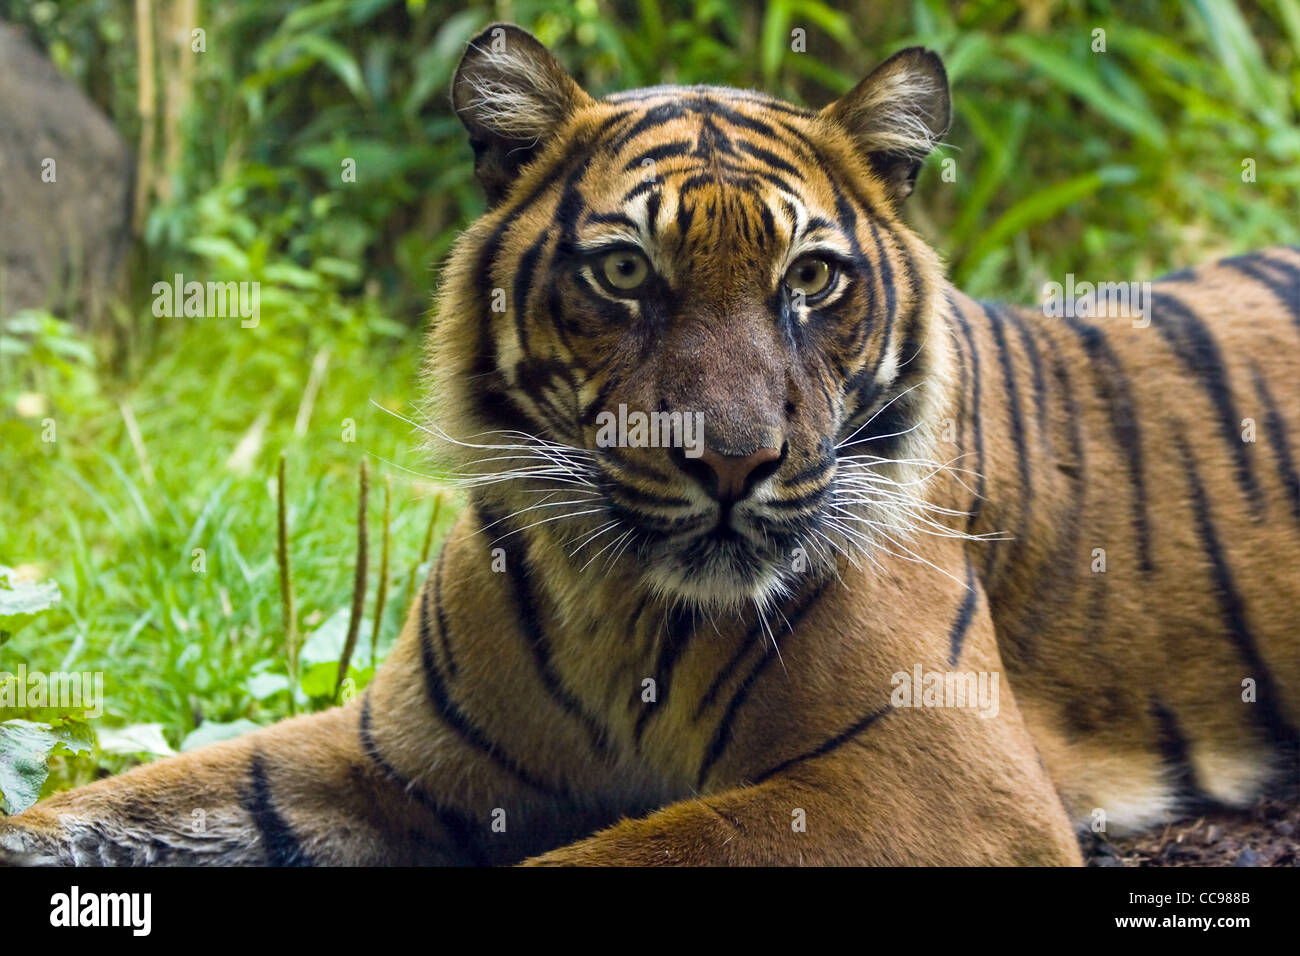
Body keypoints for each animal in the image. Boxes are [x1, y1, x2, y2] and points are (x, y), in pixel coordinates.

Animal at [0, 24, 1294, 868]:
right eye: (625, 270)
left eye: (810, 280)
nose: (732, 463)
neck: (610, 603)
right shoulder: (394, 754)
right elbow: (140, 800)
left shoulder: (936, 772)